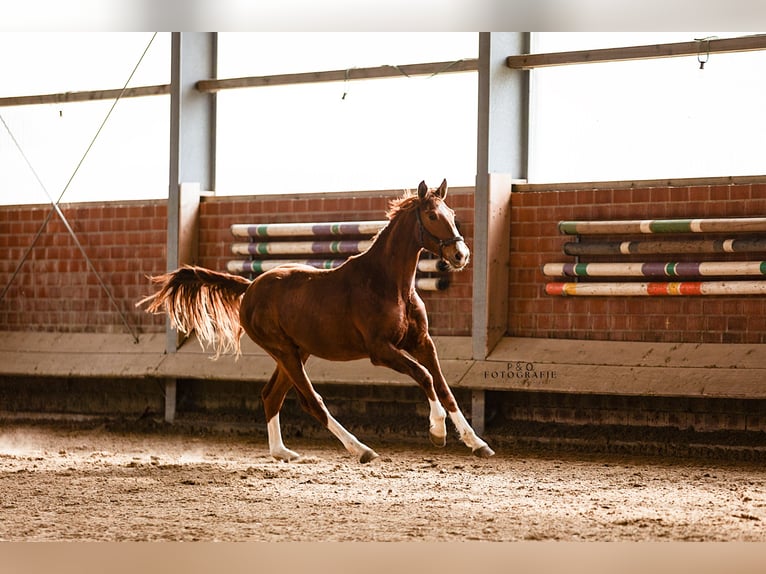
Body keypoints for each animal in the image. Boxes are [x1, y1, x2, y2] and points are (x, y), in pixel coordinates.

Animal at [139, 179, 494, 463]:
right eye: (433, 216)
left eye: (452, 215)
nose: (461, 255)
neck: (389, 284)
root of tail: (250, 288)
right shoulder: (381, 351)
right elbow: (425, 377)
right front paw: (437, 432)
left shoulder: (421, 342)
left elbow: (444, 387)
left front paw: (477, 443)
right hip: (284, 352)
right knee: (312, 401)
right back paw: (361, 450)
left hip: (297, 352)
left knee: (271, 395)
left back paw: (282, 452)